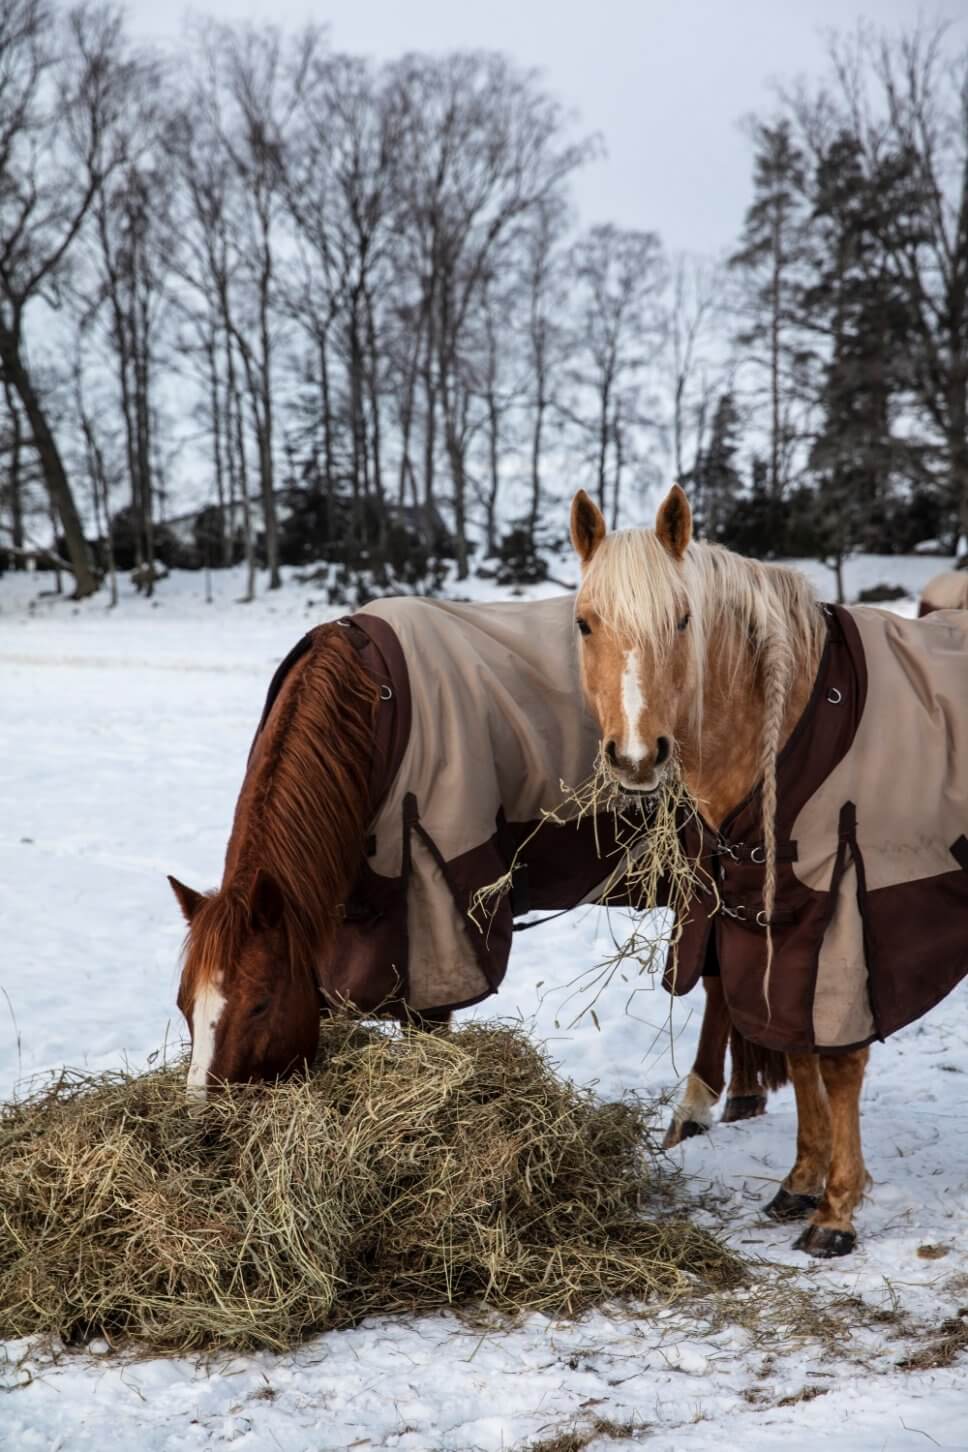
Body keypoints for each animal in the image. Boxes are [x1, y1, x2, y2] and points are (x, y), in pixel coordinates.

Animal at [569, 483, 968, 1257]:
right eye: (584, 623)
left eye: (683, 620)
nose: (636, 757)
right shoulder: (770, 921)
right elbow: (796, 1047)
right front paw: (802, 1182)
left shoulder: (844, 913)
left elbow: (836, 1059)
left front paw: (837, 1211)